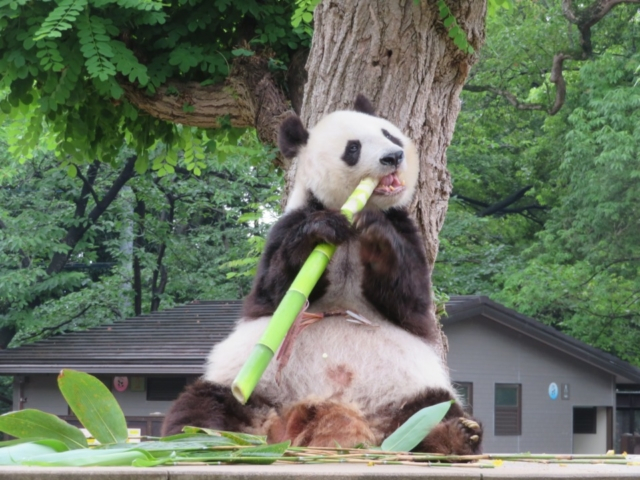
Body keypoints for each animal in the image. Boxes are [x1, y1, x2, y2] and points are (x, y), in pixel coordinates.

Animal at [162, 94, 482, 454]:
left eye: (389, 134)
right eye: (353, 148)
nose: (394, 156)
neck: (352, 214)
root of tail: (333, 411)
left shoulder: (405, 229)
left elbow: (410, 298)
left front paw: (378, 234)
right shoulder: (288, 224)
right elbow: (274, 290)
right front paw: (320, 230)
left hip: (407, 388)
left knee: (432, 408)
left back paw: (455, 433)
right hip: (250, 387)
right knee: (202, 405)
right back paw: (203, 439)